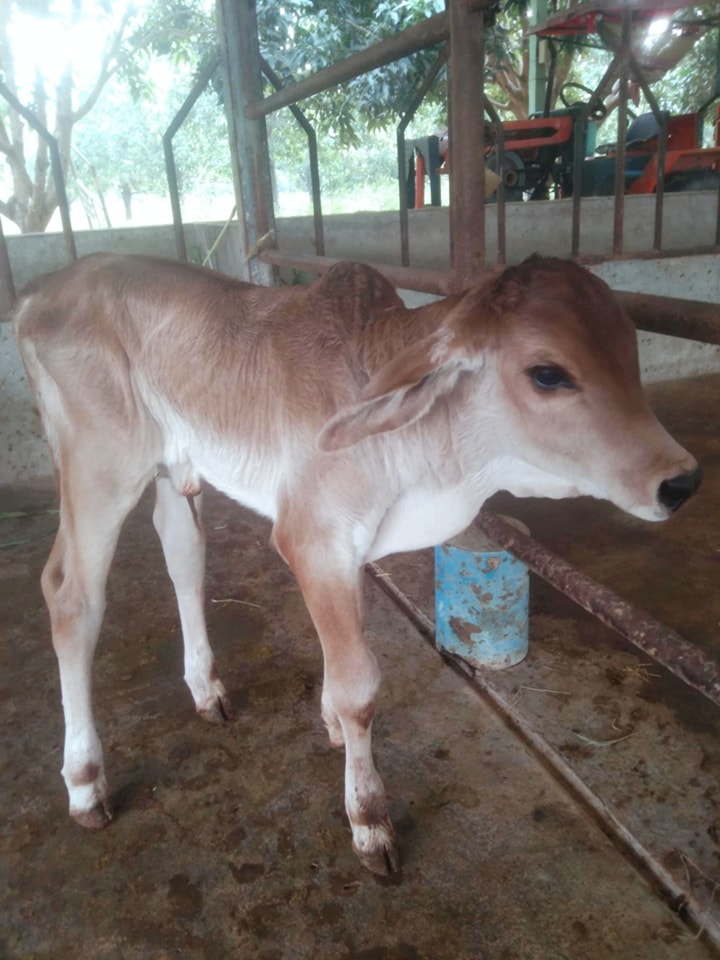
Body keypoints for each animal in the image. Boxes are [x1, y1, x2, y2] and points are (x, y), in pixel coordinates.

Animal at [12, 253, 701, 875]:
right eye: (548, 373)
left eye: (631, 354)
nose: (682, 480)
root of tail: (43, 288)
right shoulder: (312, 540)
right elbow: (361, 687)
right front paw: (369, 818)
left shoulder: (346, 554)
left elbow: (344, 662)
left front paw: (330, 724)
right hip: (99, 468)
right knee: (70, 597)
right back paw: (85, 782)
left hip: (172, 468)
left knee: (182, 556)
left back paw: (206, 688)